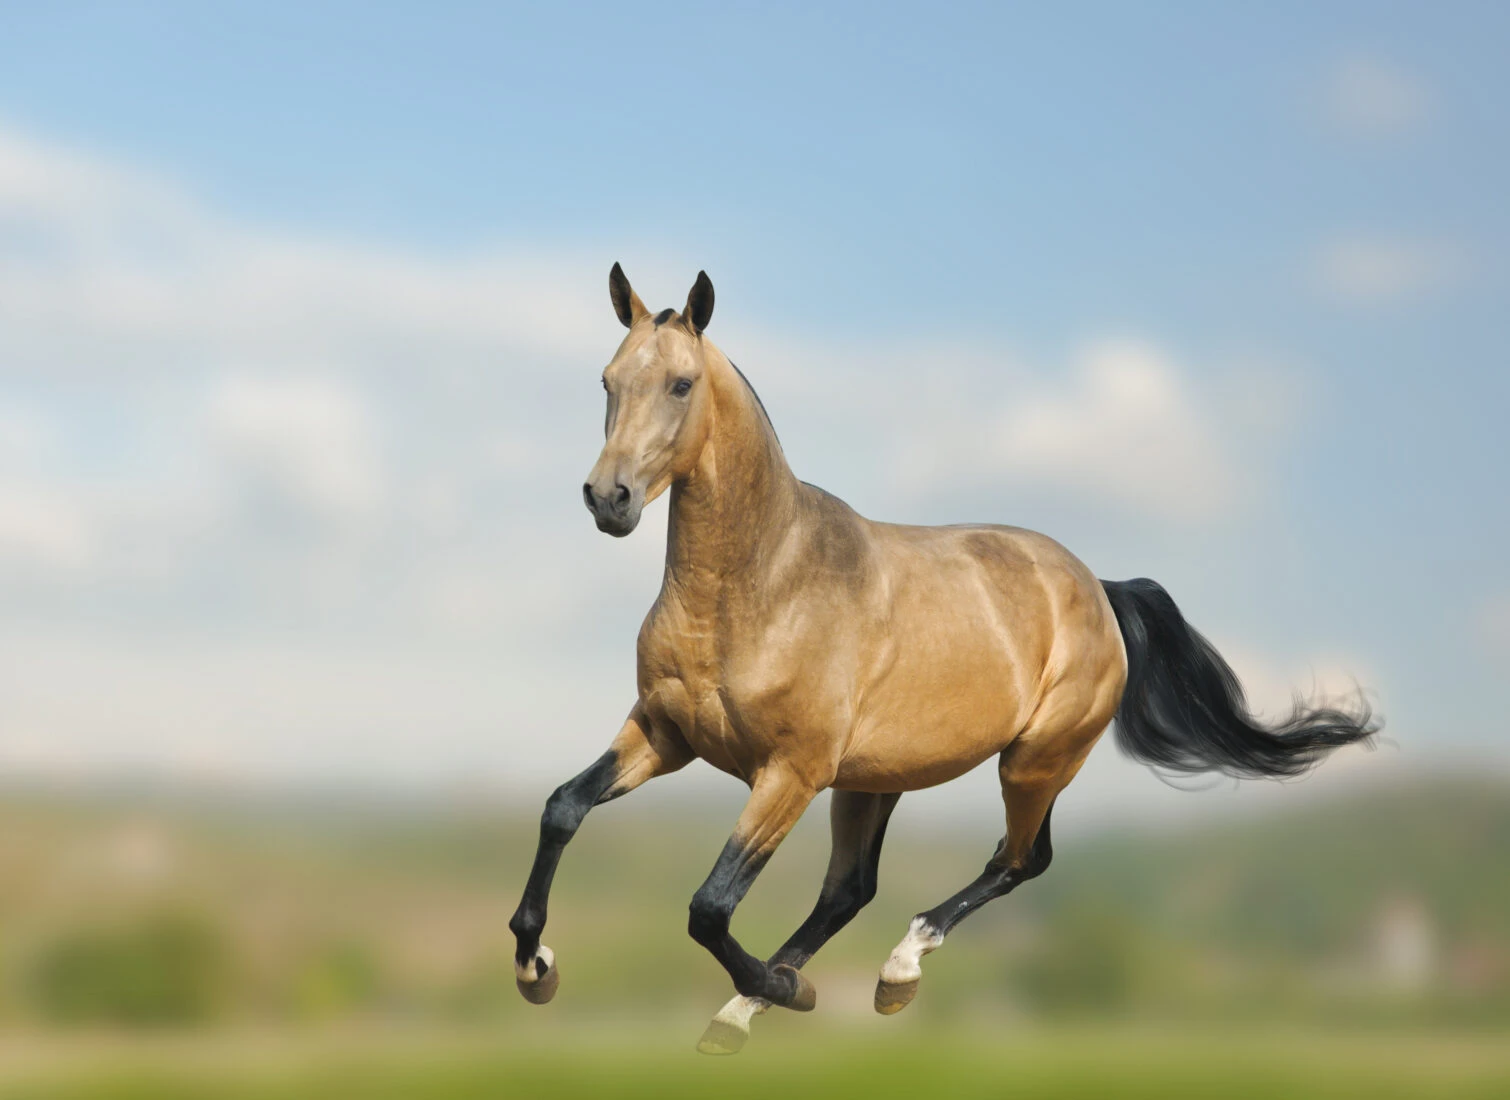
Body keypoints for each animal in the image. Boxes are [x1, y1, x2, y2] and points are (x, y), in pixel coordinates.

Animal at [507, 261, 1383, 1051]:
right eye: (607, 380)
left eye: (682, 384)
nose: (609, 498)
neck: (759, 587)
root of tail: (1099, 590)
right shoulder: (665, 734)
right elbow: (563, 808)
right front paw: (534, 965)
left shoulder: (790, 771)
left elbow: (709, 906)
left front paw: (785, 988)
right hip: (876, 781)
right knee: (853, 889)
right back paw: (751, 1009)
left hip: (1032, 761)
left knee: (1019, 861)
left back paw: (884, 973)